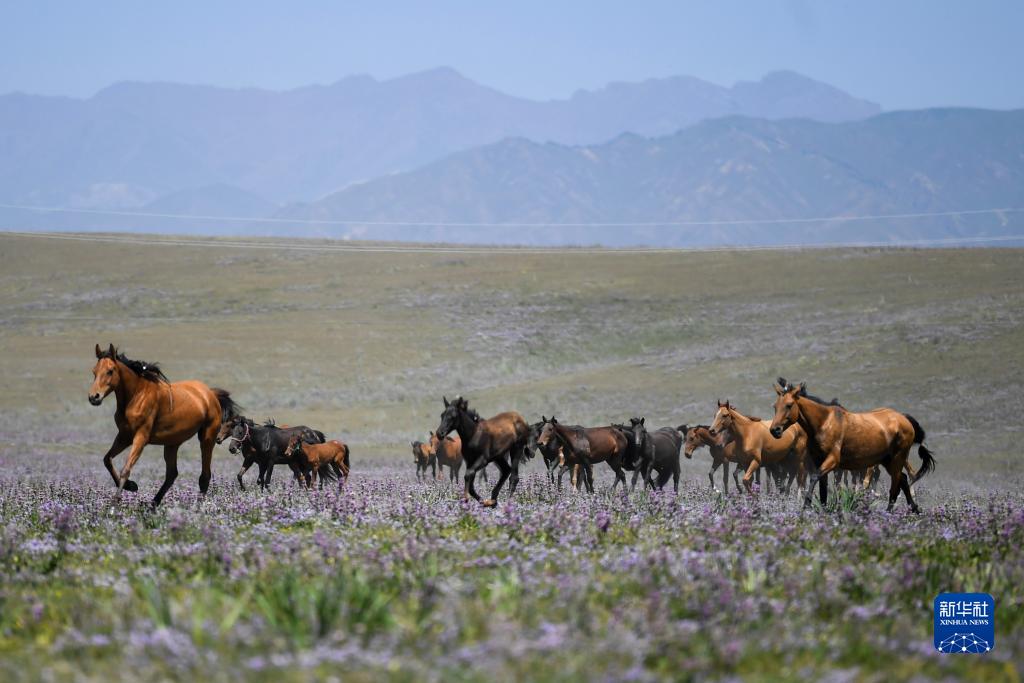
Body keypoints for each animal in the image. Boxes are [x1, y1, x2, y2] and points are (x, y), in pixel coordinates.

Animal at [88, 342, 239, 507]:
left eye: (110, 371)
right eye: (94, 371)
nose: (94, 397)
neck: (136, 395)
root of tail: (210, 394)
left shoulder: (141, 438)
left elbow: (126, 469)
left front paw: (115, 503)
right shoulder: (124, 436)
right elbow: (107, 460)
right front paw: (131, 486)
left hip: (207, 439)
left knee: (204, 476)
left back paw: (196, 508)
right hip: (172, 443)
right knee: (172, 474)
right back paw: (153, 504)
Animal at [770, 378, 937, 511]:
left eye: (789, 405)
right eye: (775, 406)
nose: (774, 430)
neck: (824, 422)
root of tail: (904, 419)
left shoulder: (833, 461)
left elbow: (815, 478)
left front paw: (806, 506)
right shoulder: (819, 461)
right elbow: (822, 489)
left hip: (897, 459)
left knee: (895, 486)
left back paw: (890, 514)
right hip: (888, 461)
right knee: (903, 479)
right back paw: (914, 509)